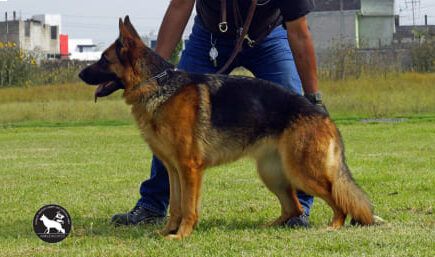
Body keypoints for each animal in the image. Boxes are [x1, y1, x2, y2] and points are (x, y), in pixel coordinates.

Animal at [78, 16, 374, 238]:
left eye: (103, 59)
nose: (80, 74)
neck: (157, 85)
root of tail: (321, 114)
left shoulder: (189, 169)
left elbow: (188, 208)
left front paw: (182, 235)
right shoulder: (174, 170)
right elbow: (175, 206)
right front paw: (167, 232)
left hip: (302, 173)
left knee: (337, 200)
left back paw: (332, 227)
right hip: (273, 174)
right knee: (294, 208)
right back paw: (268, 227)